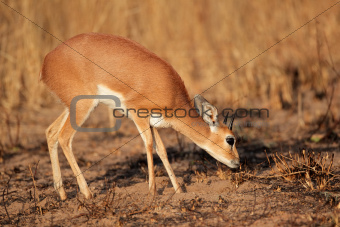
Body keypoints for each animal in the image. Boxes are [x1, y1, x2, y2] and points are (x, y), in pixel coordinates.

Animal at [41, 32, 239, 200]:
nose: (237, 162)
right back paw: (87, 193)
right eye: (230, 139)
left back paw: (62, 194)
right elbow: (149, 145)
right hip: (83, 106)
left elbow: (162, 150)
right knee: (64, 137)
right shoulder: (138, 115)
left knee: (51, 132)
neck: (169, 91)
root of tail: (47, 61)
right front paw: (152, 191)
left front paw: (178, 190)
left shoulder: (153, 122)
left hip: (72, 107)